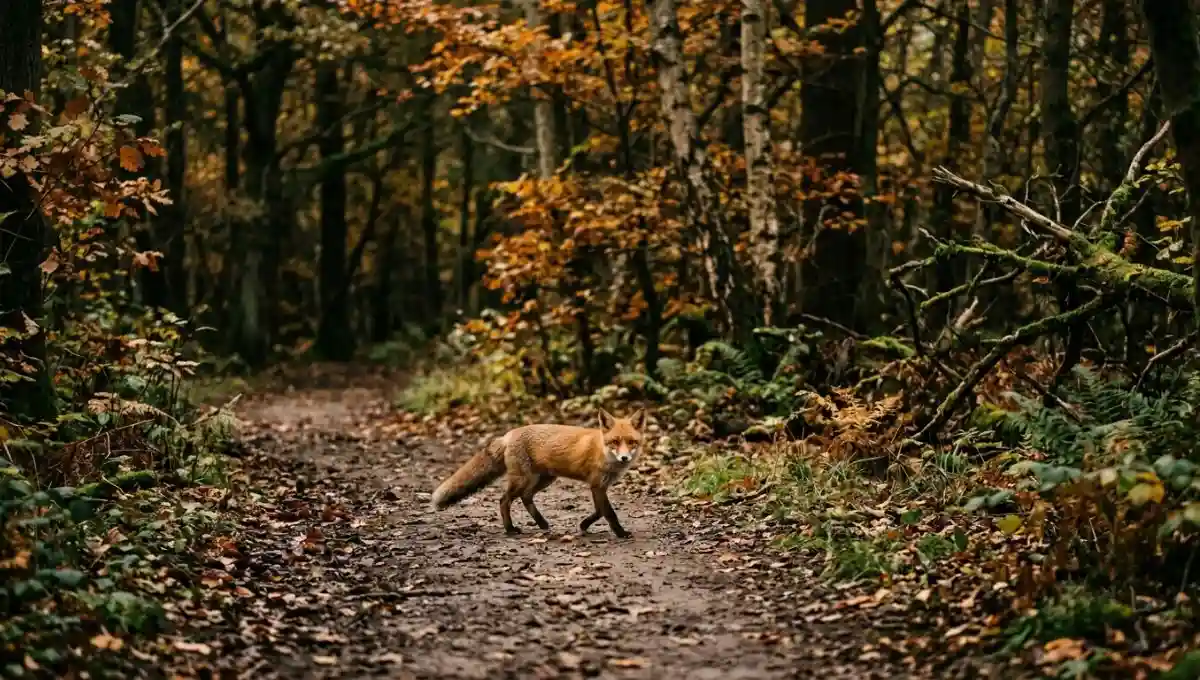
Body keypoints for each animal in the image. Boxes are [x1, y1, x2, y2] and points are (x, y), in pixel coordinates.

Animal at [430, 408, 647, 538]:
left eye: (631, 442)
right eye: (615, 442)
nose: (624, 458)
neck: (603, 452)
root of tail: (508, 435)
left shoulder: (599, 486)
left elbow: (600, 511)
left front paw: (584, 525)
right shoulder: (596, 485)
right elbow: (608, 512)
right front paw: (620, 532)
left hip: (545, 479)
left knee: (526, 497)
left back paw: (541, 523)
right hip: (524, 479)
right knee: (504, 499)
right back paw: (510, 529)